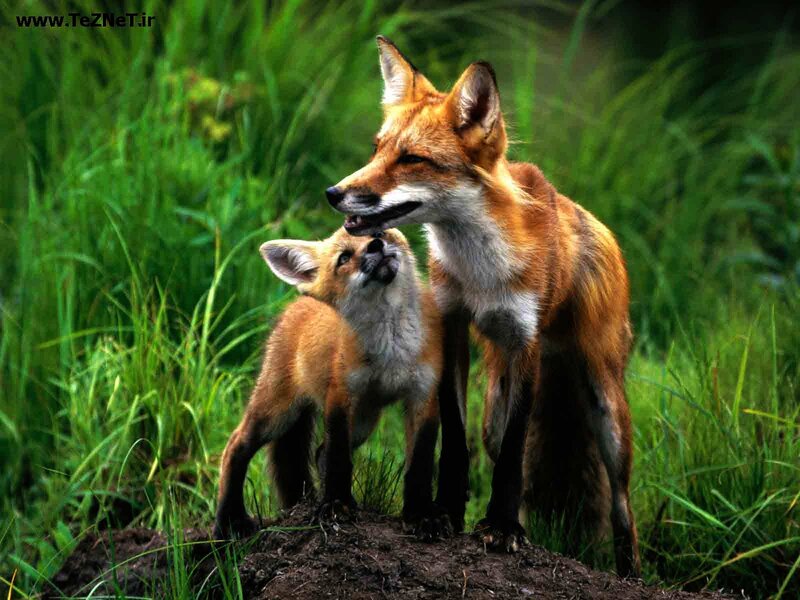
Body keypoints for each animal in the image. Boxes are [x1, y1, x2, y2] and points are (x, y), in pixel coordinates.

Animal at [214, 228, 448, 540]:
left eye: (379, 232)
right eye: (344, 258)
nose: (376, 245)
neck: (391, 349)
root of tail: (297, 302)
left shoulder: (424, 396)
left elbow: (419, 465)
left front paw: (421, 514)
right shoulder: (340, 394)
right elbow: (339, 456)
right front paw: (337, 504)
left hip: (363, 421)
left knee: (319, 452)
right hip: (277, 413)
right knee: (235, 446)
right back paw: (230, 520)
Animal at [325, 36, 640, 577]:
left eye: (412, 158)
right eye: (377, 148)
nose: (334, 193)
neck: (481, 275)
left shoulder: (525, 341)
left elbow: (514, 452)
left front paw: (502, 528)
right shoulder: (452, 325)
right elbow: (456, 438)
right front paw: (444, 512)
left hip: (607, 409)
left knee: (622, 509)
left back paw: (629, 573)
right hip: (494, 400)